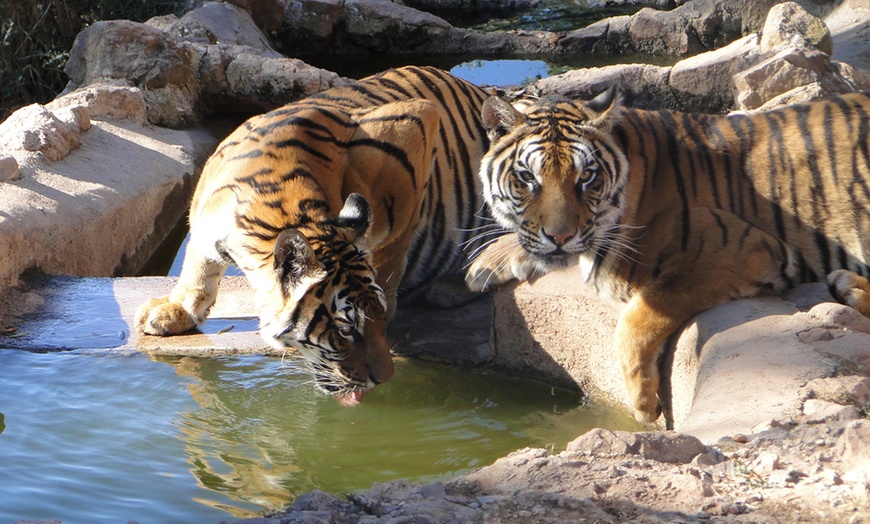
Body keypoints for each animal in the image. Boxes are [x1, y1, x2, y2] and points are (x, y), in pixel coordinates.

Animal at [133, 66, 494, 406]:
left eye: (374, 320)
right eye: (346, 329)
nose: (385, 379)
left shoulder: (414, 129)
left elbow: (392, 251)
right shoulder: (204, 219)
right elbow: (198, 264)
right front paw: (174, 312)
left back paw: (456, 283)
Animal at [466, 89, 870, 422]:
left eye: (586, 178)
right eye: (527, 178)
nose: (560, 236)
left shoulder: (739, 247)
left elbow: (640, 314)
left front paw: (643, 403)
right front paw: (485, 263)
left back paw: (851, 287)